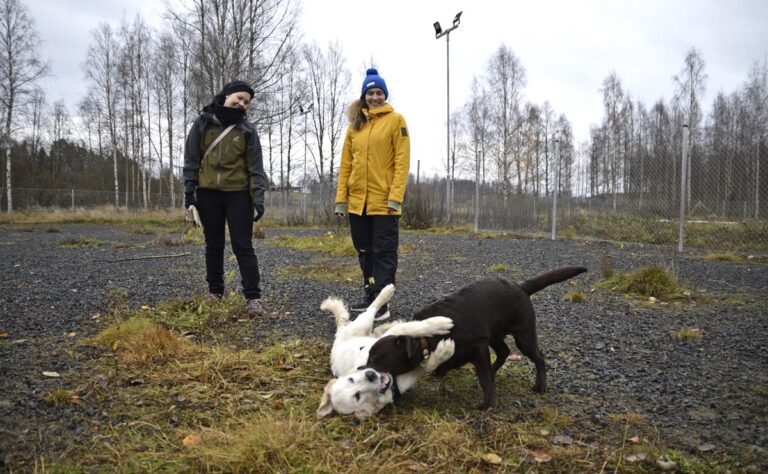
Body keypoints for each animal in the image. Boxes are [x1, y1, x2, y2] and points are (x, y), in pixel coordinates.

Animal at [318, 282, 456, 418]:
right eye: (358, 396)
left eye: (351, 379)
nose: (370, 375)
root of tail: (339, 335)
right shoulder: (406, 378)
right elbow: (428, 365)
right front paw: (444, 349)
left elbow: (410, 328)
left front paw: (439, 324)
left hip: (363, 326)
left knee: (372, 311)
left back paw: (387, 293)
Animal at [366, 268, 588, 410]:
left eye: (375, 358)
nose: (363, 371)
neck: (428, 336)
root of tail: (520, 286)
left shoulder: (478, 348)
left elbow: (484, 379)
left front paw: (488, 403)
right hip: (495, 335)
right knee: (504, 352)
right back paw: (496, 370)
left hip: (523, 335)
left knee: (538, 356)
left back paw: (540, 385)